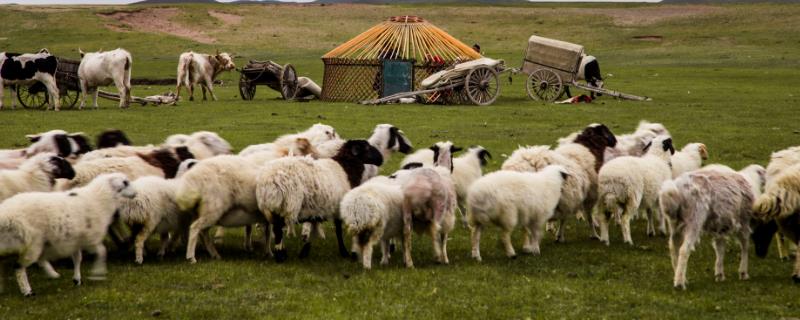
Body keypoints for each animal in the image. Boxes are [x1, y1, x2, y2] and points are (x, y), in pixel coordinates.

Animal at [0, 174, 136, 296]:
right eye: (125, 182)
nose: (135, 194)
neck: (99, 199)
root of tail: (6, 214)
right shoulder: (91, 239)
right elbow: (102, 252)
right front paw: (98, 273)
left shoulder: (75, 240)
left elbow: (77, 258)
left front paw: (77, 279)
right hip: (31, 242)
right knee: (19, 266)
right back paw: (27, 291)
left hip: (29, 242)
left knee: (36, 259)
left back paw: (51, 274)